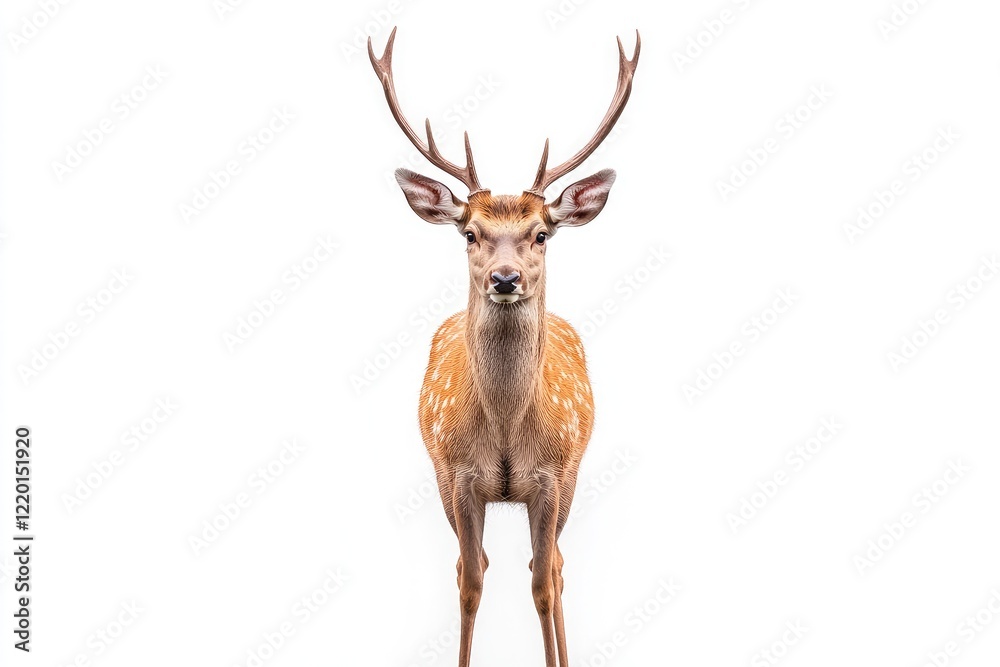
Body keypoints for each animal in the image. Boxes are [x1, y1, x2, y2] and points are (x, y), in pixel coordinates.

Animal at [368, 27, 640, 667]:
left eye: (542, 233)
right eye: (470, 232)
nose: (506, 277)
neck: (509, 428)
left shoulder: (553, 477)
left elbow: (542, 582)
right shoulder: (457, 475)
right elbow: (471, 579)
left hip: (574, 476)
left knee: (558, 567)